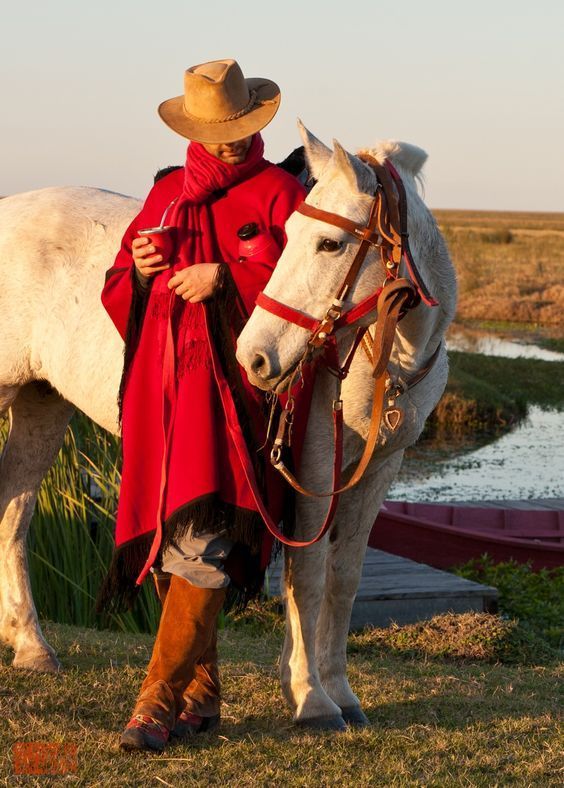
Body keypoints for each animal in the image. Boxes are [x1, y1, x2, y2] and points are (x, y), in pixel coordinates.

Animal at [236, 124, 456, 728]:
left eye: (330, 244)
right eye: (287, 233)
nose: (252, 356)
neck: (389, 359)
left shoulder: (379, 467)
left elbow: (344, 577)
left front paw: (334, 688)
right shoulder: (314, 464)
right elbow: (307, 575)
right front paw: (311, 697)